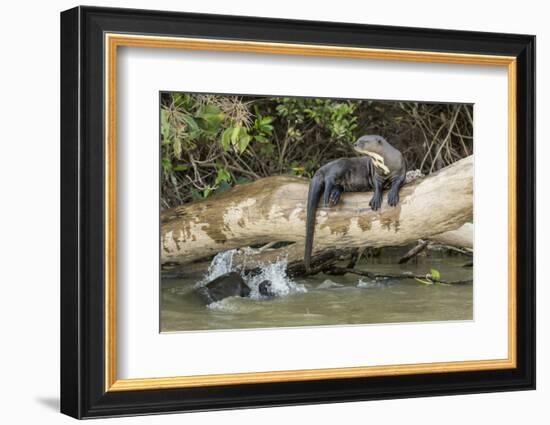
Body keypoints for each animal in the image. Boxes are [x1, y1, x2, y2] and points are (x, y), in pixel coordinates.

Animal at [304, 134, 408, 270]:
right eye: (359, 139)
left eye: (364, 141)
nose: (354, 144)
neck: (385, 164)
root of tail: (322, 168)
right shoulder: (376, 175)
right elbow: (377, 186)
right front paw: (376, 199)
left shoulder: (401, 168)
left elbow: (398, 182)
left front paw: (393, 195)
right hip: (341, 164)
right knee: (330, 177)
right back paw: (328, 193)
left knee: (337, 184)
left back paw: (334, 195)